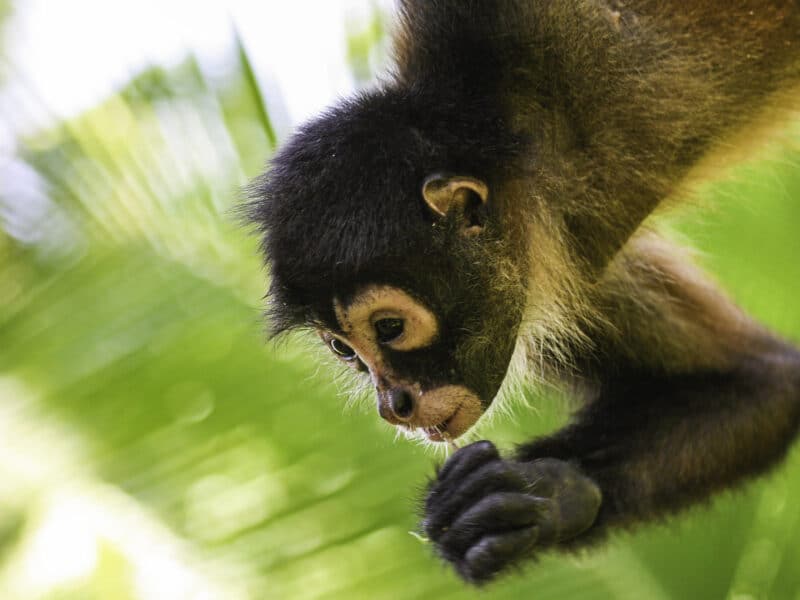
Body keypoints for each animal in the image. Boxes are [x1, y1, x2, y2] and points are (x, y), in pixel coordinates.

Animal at [245, 0, 800, 585]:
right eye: (344, 350)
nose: (393, 404)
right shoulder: (556, 255)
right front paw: (551, 494)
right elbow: (761, 384)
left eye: (390, 327)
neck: (522, 130)